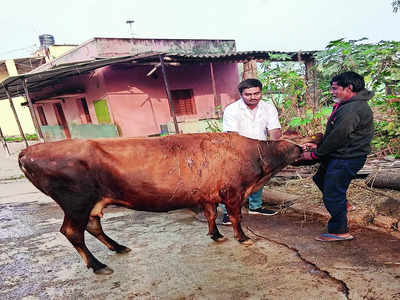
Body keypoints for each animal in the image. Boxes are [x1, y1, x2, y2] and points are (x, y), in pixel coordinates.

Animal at [18, 131, 322, 274]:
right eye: (304, 147)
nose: (317, 150)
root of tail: (30, 150)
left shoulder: (207, 194)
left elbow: (211, 215)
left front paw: (215, 235)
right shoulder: (233, 192)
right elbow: (236, 216)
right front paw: (242, 237)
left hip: (91, 204)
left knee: (93, 227)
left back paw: (118, 247)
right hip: (76, 202)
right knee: (72, 232)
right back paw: (98, 265)